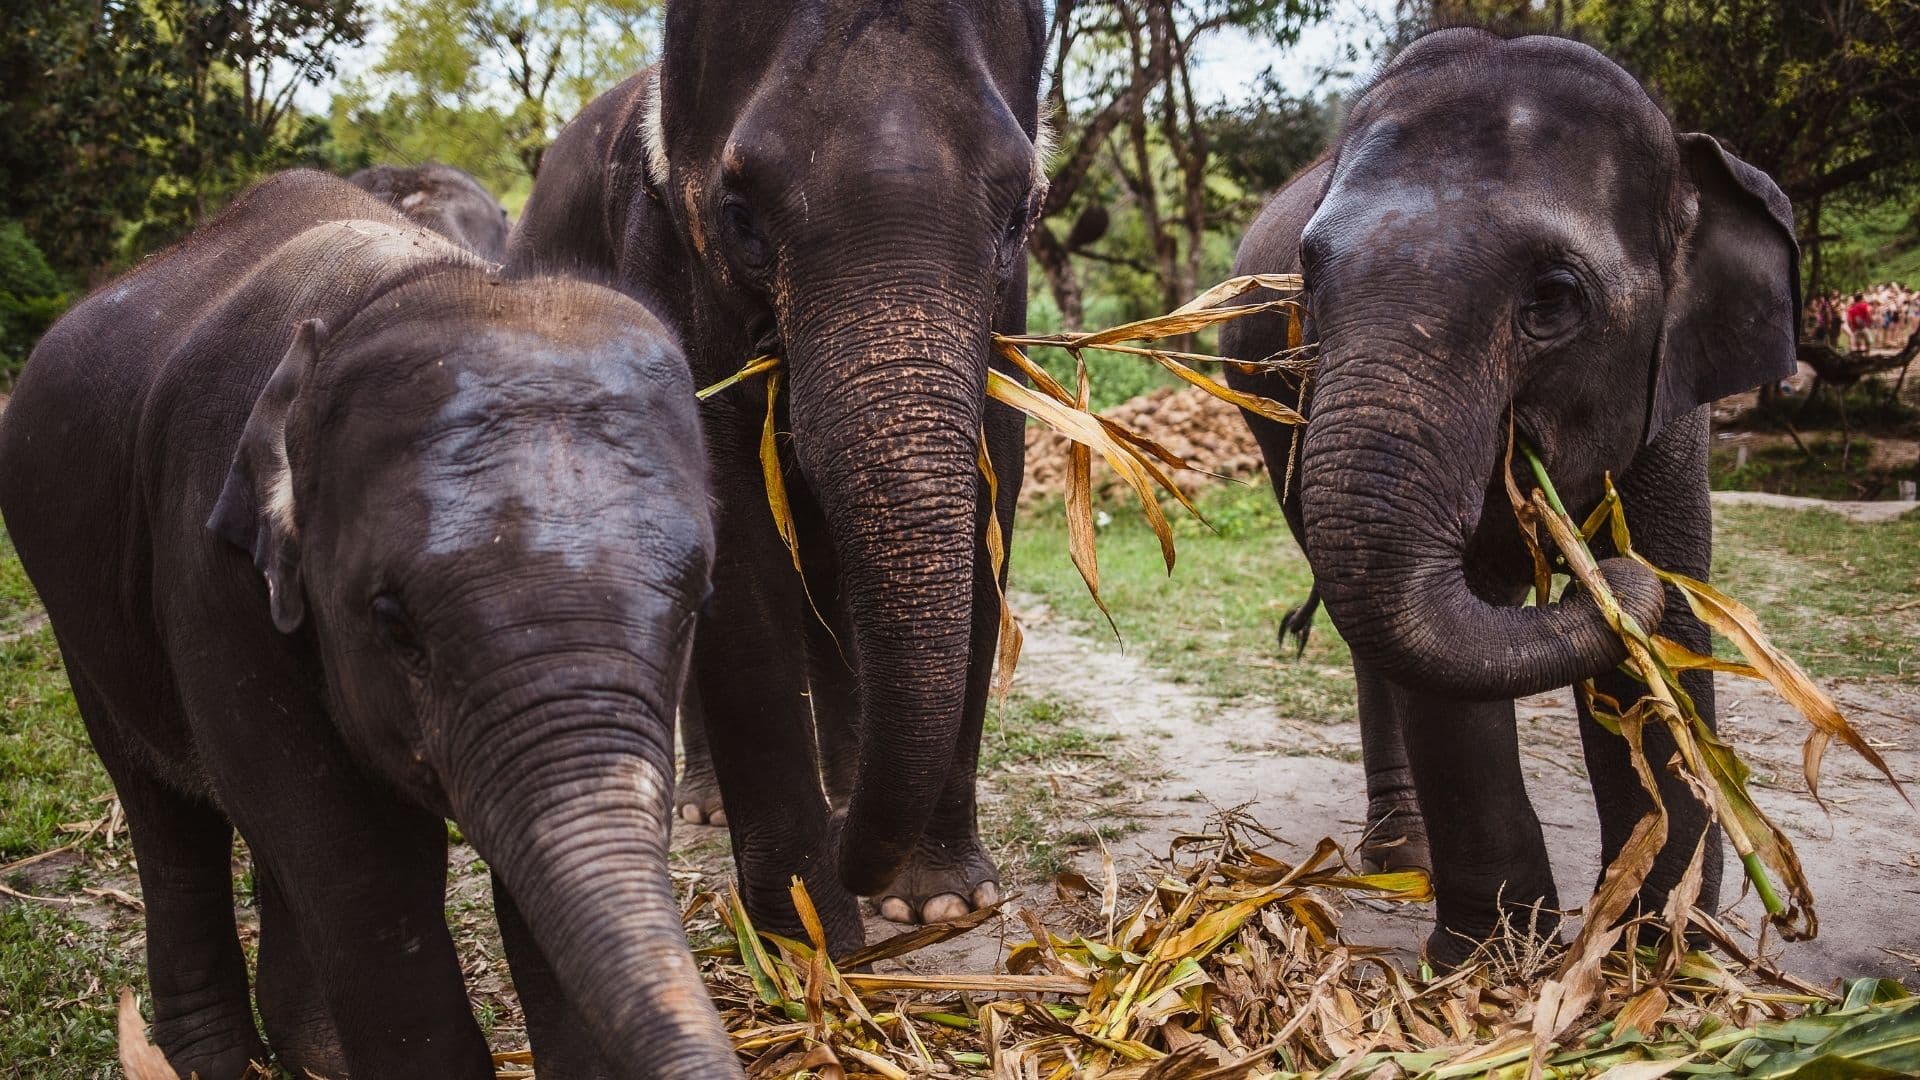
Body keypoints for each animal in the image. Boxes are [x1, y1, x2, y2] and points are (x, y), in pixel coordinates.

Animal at [508, 0, 1051, 953]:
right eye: (742, 217)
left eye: (1021, 213)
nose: (857, 865)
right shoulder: (663, 260)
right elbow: (733, 536)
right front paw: (812, 943)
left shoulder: (1007, 315)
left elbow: (992, 499)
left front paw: (940, 903)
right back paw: (713, 811)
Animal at [1219, 29, 1799, 968]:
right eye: (1306, 278)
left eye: (1554, 298)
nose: (1598, 572)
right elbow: (1455, 634)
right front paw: (1492, 964)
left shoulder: (1674, 392)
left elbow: (1673, 618)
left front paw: (1660, 951)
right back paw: (1403, 854)